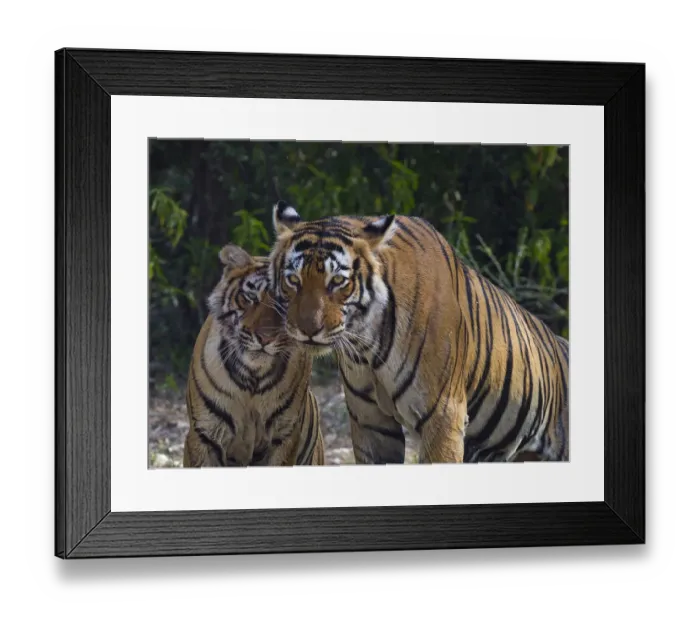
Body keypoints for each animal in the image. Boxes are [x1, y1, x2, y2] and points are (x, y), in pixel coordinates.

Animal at [182, 243, 324, 468]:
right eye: (250, 297)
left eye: (285, 304)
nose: (265, 338)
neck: (252, 378)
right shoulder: (205, 435)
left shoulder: (283, 438)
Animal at [267, 200, 569, 465]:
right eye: (293, 280)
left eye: (338, 281)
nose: (308, 329)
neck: (368, 346)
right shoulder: (370, 422)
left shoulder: (444, 415)